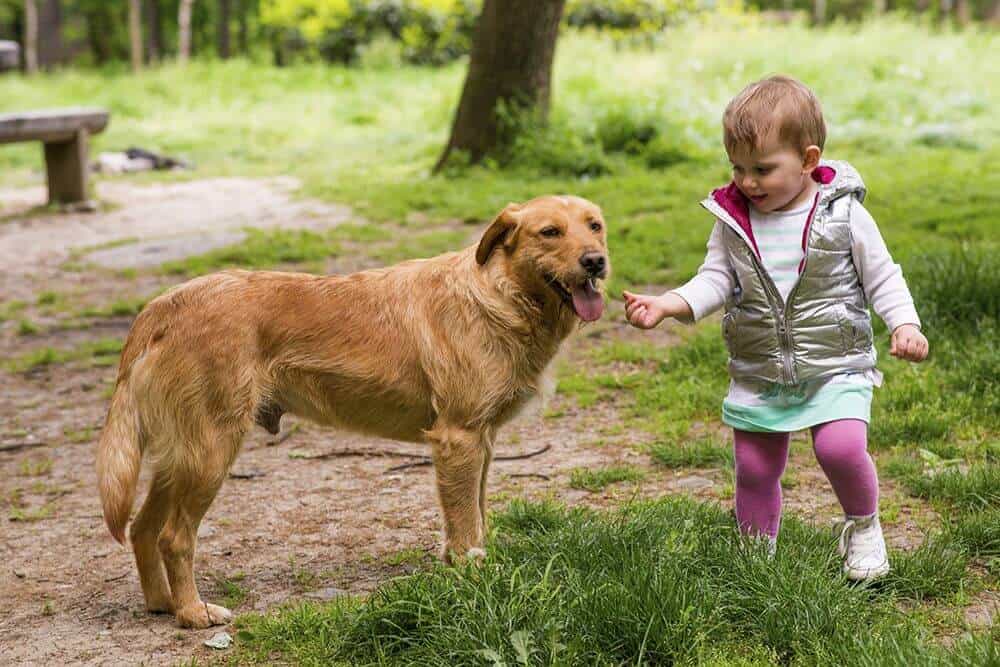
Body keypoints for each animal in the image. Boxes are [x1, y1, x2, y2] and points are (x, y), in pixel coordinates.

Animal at [97, 196, 608, 628]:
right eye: (549, 232)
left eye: (595, 226)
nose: (596, 262)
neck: (497, 293)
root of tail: (162, 306)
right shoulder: (459, 439)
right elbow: (465, 526)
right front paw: (473, 580)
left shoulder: (482, 442)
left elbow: (476, 516)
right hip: (210, 455)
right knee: (173, 538)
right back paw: (191, 612)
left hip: (180, 457)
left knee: (142, 529)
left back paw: (162, 604)